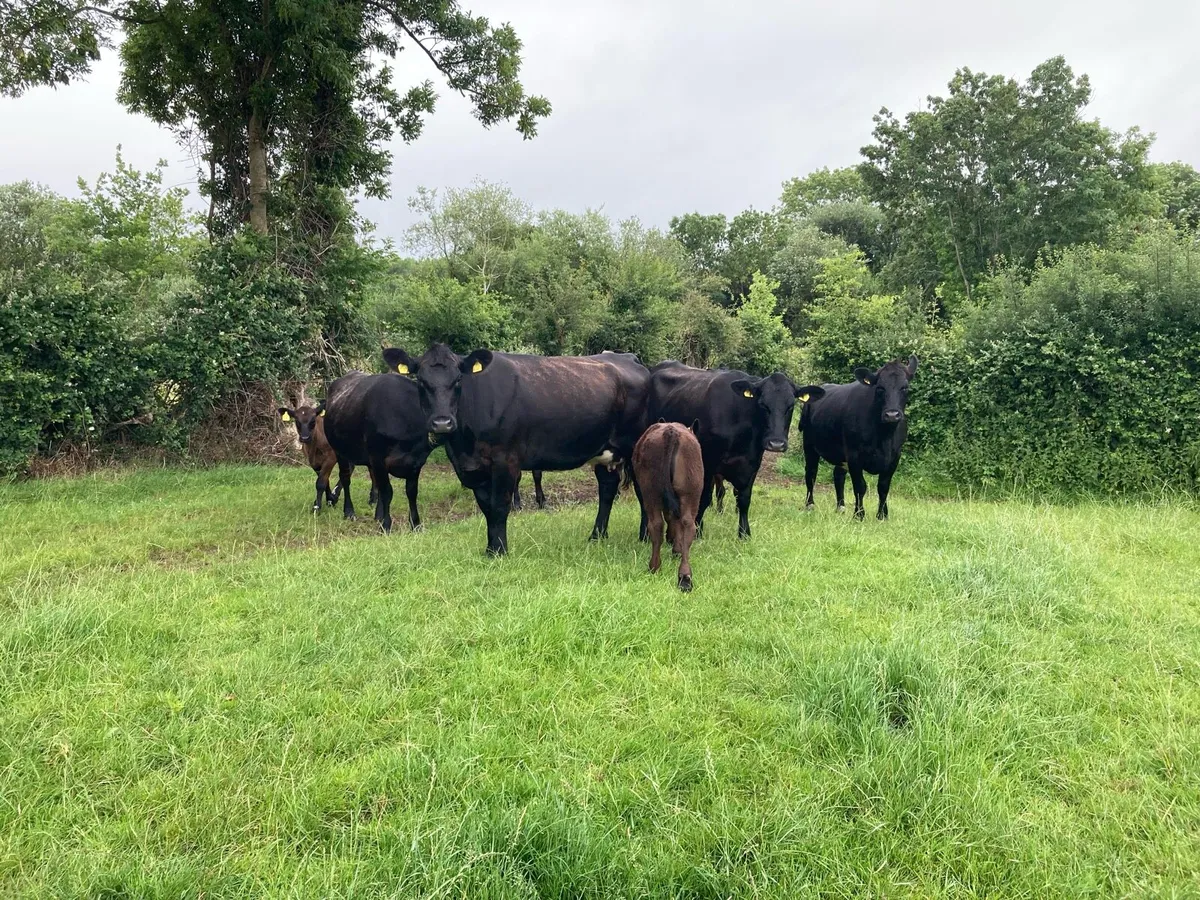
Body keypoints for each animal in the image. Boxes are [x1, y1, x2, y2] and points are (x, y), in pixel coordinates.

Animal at [321, 369, 437, 533]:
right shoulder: (378, 458)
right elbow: (387, 492)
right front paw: (386, 525)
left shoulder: (416, 462)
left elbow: (411, 492)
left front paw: (416, 524)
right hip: (340, 451)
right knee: (345, 478)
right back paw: (349, 512)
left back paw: (377, 515)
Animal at [383, 344, 650, 556]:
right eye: (421, 381)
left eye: (458, 380)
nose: (442, 422)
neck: (464, 446)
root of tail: (628, 358)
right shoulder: (473, 468)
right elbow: (486, 507)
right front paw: (490, 549)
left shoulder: (505, 460)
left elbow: (500, 505)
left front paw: (500, 552)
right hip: (606, 451)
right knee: (607, 489)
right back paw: (597, 536)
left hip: (636, 446)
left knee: (641, 489)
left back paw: (644, 536)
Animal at [633, 421, 704, 592]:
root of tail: (671, 431)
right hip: (681, 493)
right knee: (682, 524)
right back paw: (674, 573)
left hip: (653, 493)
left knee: (662, 523)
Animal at [648, 361, 825, 540]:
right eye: (762, 404)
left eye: (791, 406)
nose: (776, 443)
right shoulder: (708, 462)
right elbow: (704, 497)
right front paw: (697, 531)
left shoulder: (752, 464)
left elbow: (744, 499)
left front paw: (744, 534)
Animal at [801, 355, 918, 520]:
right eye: (880, 388)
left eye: (905, 388)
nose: (892, 415)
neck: (884, 437)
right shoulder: (854, 455)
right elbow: (860, 486)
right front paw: (859, 515)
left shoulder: (895, 457)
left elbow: (883, 487)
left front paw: (882, 515)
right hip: (809, 444)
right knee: (811, 473)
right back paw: (810, 505)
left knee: (838, 475)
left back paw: (841, 507)